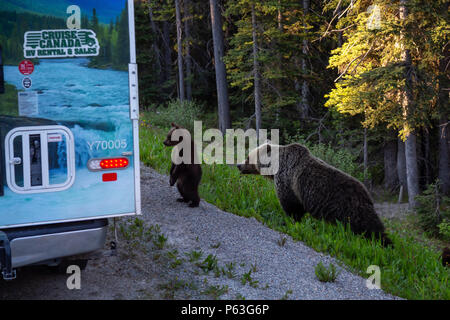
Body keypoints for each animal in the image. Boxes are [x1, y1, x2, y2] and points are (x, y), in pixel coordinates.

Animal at [237, 143, 392, 248]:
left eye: (248, 157)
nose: (239, 165)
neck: (275, 166)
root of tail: (367, 195)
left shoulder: (287, 181)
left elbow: (291, 206)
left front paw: (289, 221)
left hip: (349, 208)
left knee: (369, 226)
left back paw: (384, 243)